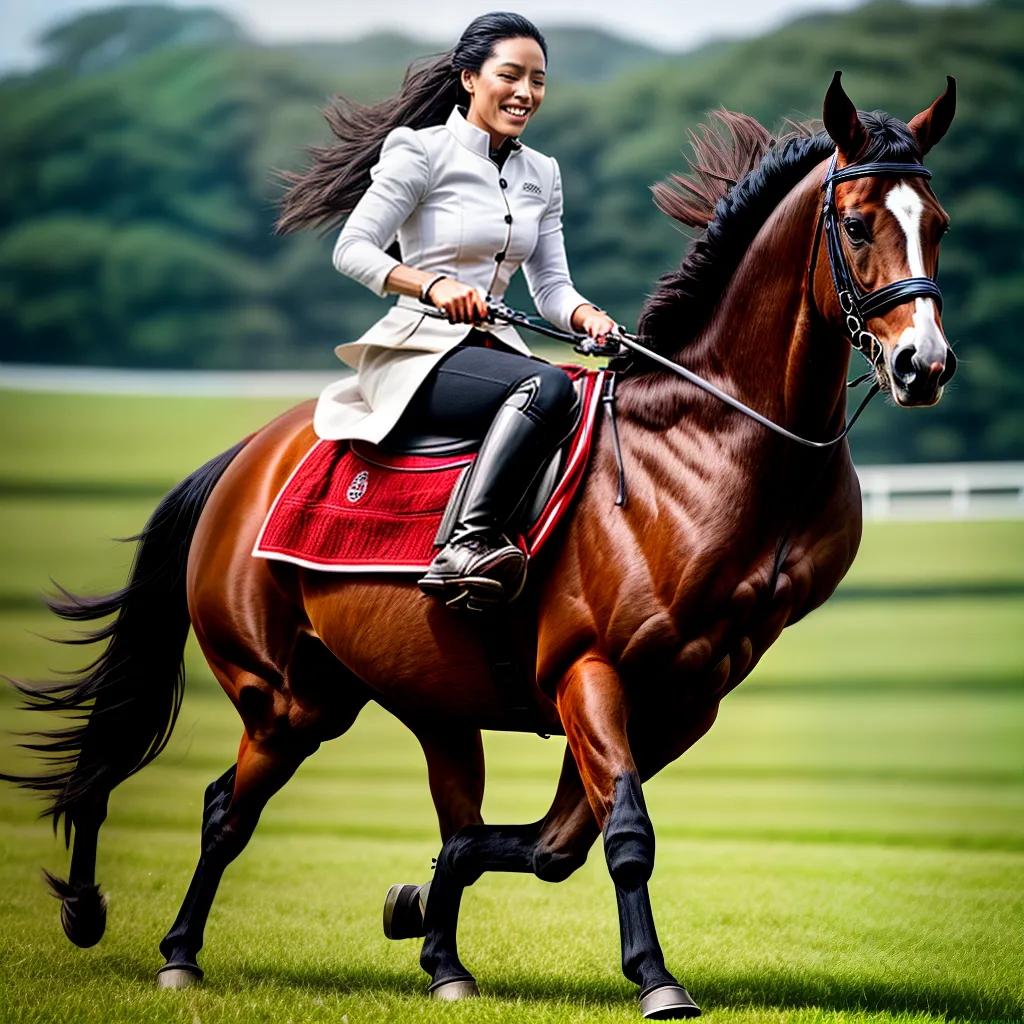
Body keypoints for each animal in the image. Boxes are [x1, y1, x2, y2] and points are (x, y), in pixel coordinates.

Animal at [4, 73, 957, 1020]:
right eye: (858, 223)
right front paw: (655, 978)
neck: (701, 444)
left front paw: (416, 900)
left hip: (423, 701)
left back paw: (442, 961)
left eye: (940, 223)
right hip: (287, 699)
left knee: (444, 809)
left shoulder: (685, 696)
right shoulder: (588, 671)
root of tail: (245, 458)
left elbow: (553, 843)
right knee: (223, 812)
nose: (926, 365)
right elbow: (622, 833)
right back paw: (174, 953)